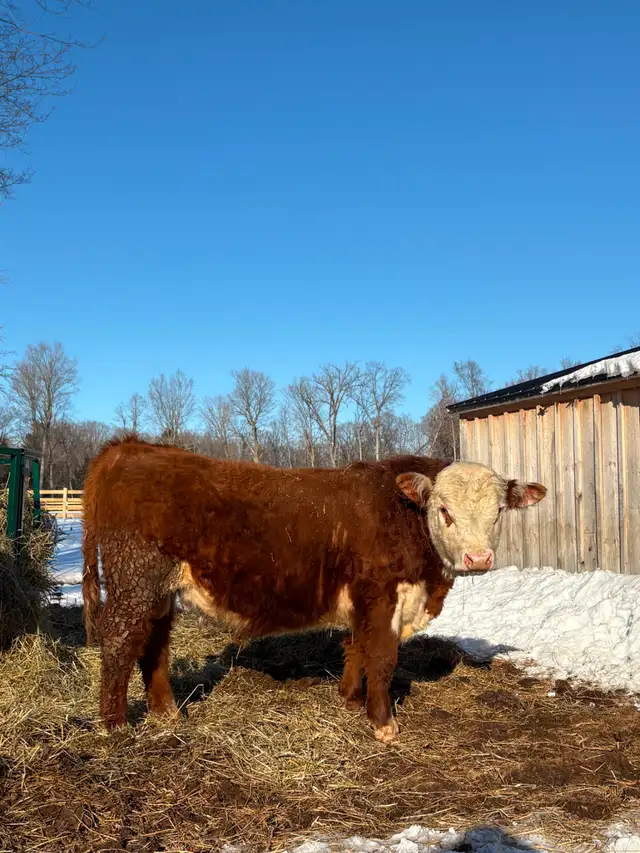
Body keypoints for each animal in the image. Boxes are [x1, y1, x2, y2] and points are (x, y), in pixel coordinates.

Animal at [82, 436, 546, 743]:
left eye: (498, 511)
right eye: (444, 511)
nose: (478, 559)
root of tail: (133, 446)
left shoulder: (365, 600)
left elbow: (356, 647)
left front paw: (350, 700)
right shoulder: (380, 594)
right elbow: (381, 657)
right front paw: (383, 724)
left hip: (158, 590)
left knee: (154, 644)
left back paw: (167, 714)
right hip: (135, 579)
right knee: (120, 642)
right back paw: (114, 726)